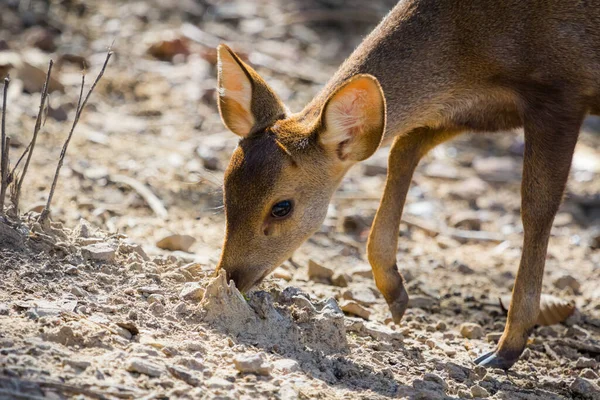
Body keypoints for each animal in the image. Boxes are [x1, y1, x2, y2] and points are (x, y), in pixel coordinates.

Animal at [216, 0, 600, 368]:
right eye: (225, 189)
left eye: (281, 207)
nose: (229, 276)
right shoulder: (472, 107)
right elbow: (402, 149)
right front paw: (395, 292)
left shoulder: (561, 91)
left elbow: (537, 208)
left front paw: (506, 348)